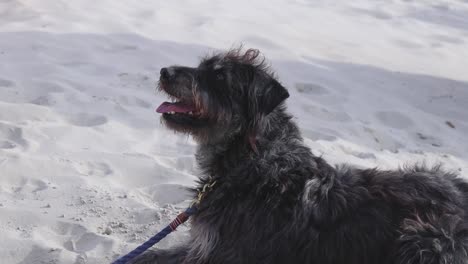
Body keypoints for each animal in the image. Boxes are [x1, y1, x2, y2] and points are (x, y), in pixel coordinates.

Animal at [131, 48, 468, 262]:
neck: (254, 161)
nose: (164, 71)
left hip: (425, 239)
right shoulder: (202, 248)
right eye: (202, 67)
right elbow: (150, 255)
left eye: (219, 78)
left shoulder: (224, 254)